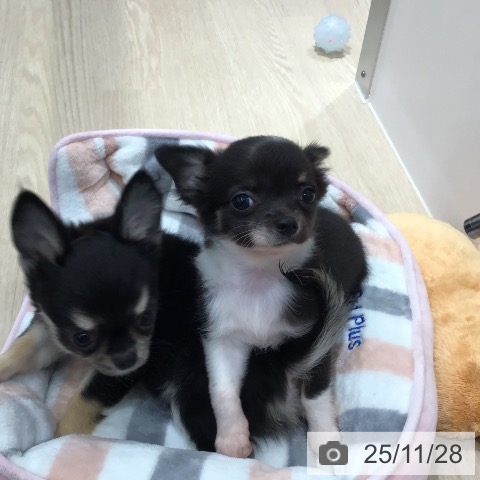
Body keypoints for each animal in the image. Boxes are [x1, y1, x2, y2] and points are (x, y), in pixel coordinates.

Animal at [155, 136, 368, 458]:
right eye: (242, 201)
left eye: (307, 194)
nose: (288, 222)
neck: (259, 276)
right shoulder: (222, 338)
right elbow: (222, 390)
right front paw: (232, 439)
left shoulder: (313, 336)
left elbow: (314, 396)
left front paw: (324, 442)